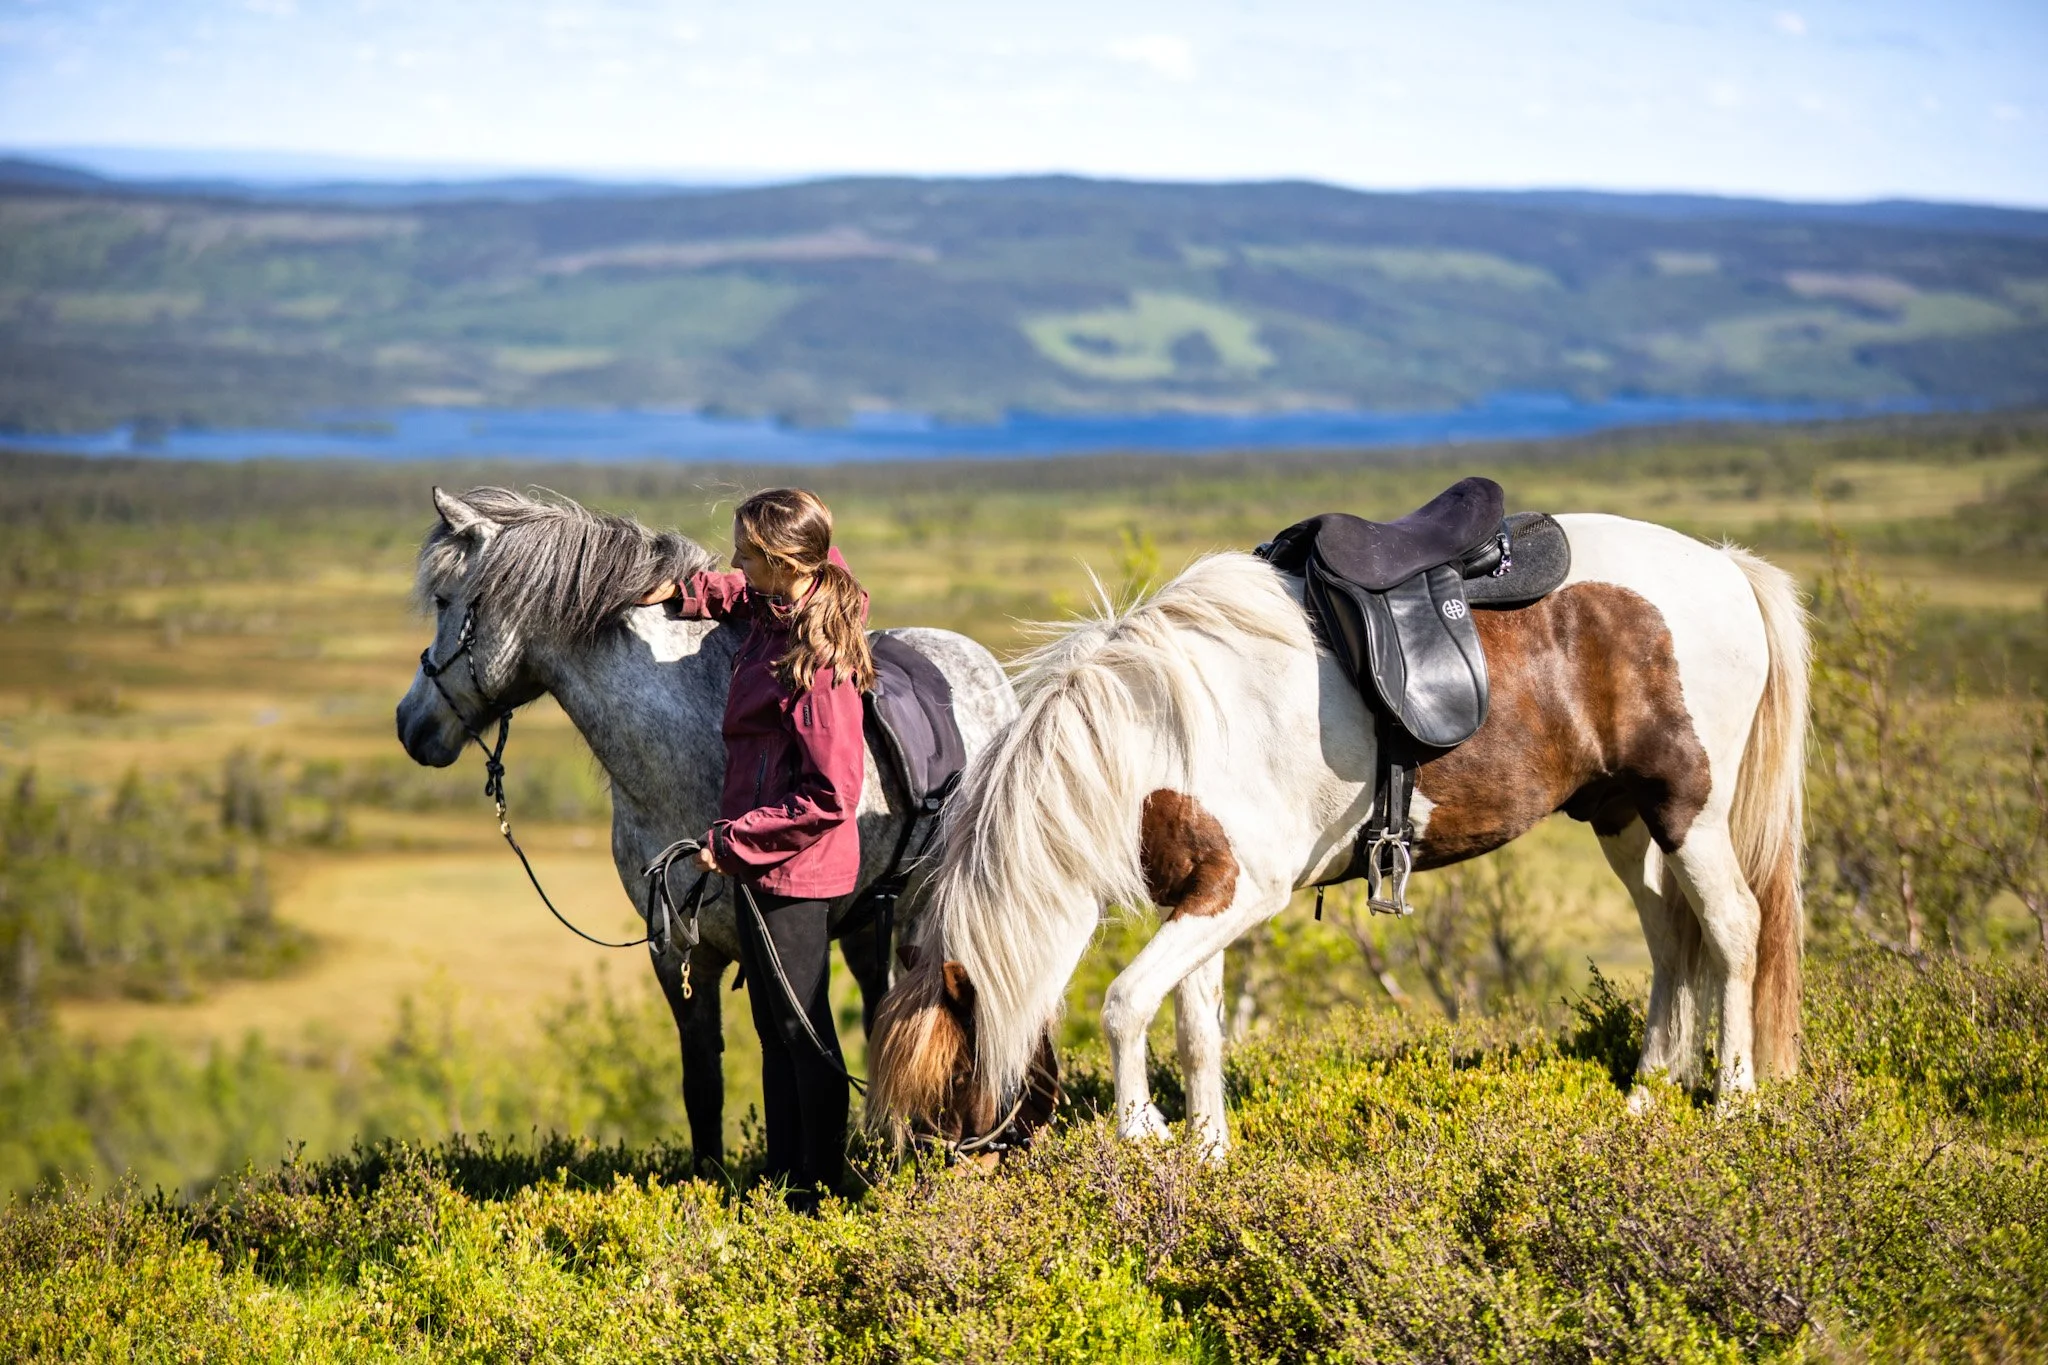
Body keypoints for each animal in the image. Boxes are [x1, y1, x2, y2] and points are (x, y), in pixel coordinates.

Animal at [394, 486, 1017, 1168]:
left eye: (445, 601)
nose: (408, 725)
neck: (688, 761)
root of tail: (986, 665)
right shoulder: (675, 953)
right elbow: (704, 1080)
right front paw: (716, 1179)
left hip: (931, 911)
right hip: (868, 921)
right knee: (881, 1003)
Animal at [869, 512, 1808, 1156]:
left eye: (949, 1079)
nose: (933, 1181)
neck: (1153, 734)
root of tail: (1724, 566)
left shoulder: (1239, 894)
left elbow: (1126, 1001)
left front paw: (1145, 1131)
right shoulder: (1203, 897)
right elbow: (1197, 1025)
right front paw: (1209, 1152)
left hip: (1690, 811)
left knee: (1734, 928)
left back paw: (1733, 1097)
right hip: (1623, 816)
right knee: (1670, 937)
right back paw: (1648, 1094)